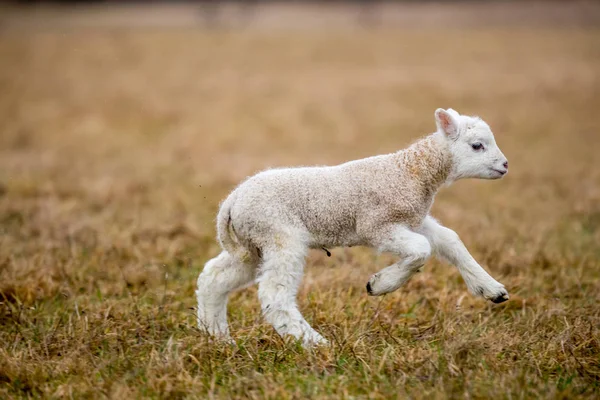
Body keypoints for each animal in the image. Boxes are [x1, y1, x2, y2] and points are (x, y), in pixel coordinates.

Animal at [196, 108, 510, 346]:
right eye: (477, 145)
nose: (506, 165)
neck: (412, 172)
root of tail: (232, 202)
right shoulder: (376, 225)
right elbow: (422, 249)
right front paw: (380, 284)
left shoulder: (413, 220)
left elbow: (449, 240)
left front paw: (492, 290)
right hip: (279, 236)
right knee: (275, 295)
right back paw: (314, 343)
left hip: (252, 246)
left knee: (214, 278)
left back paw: (218, 337)